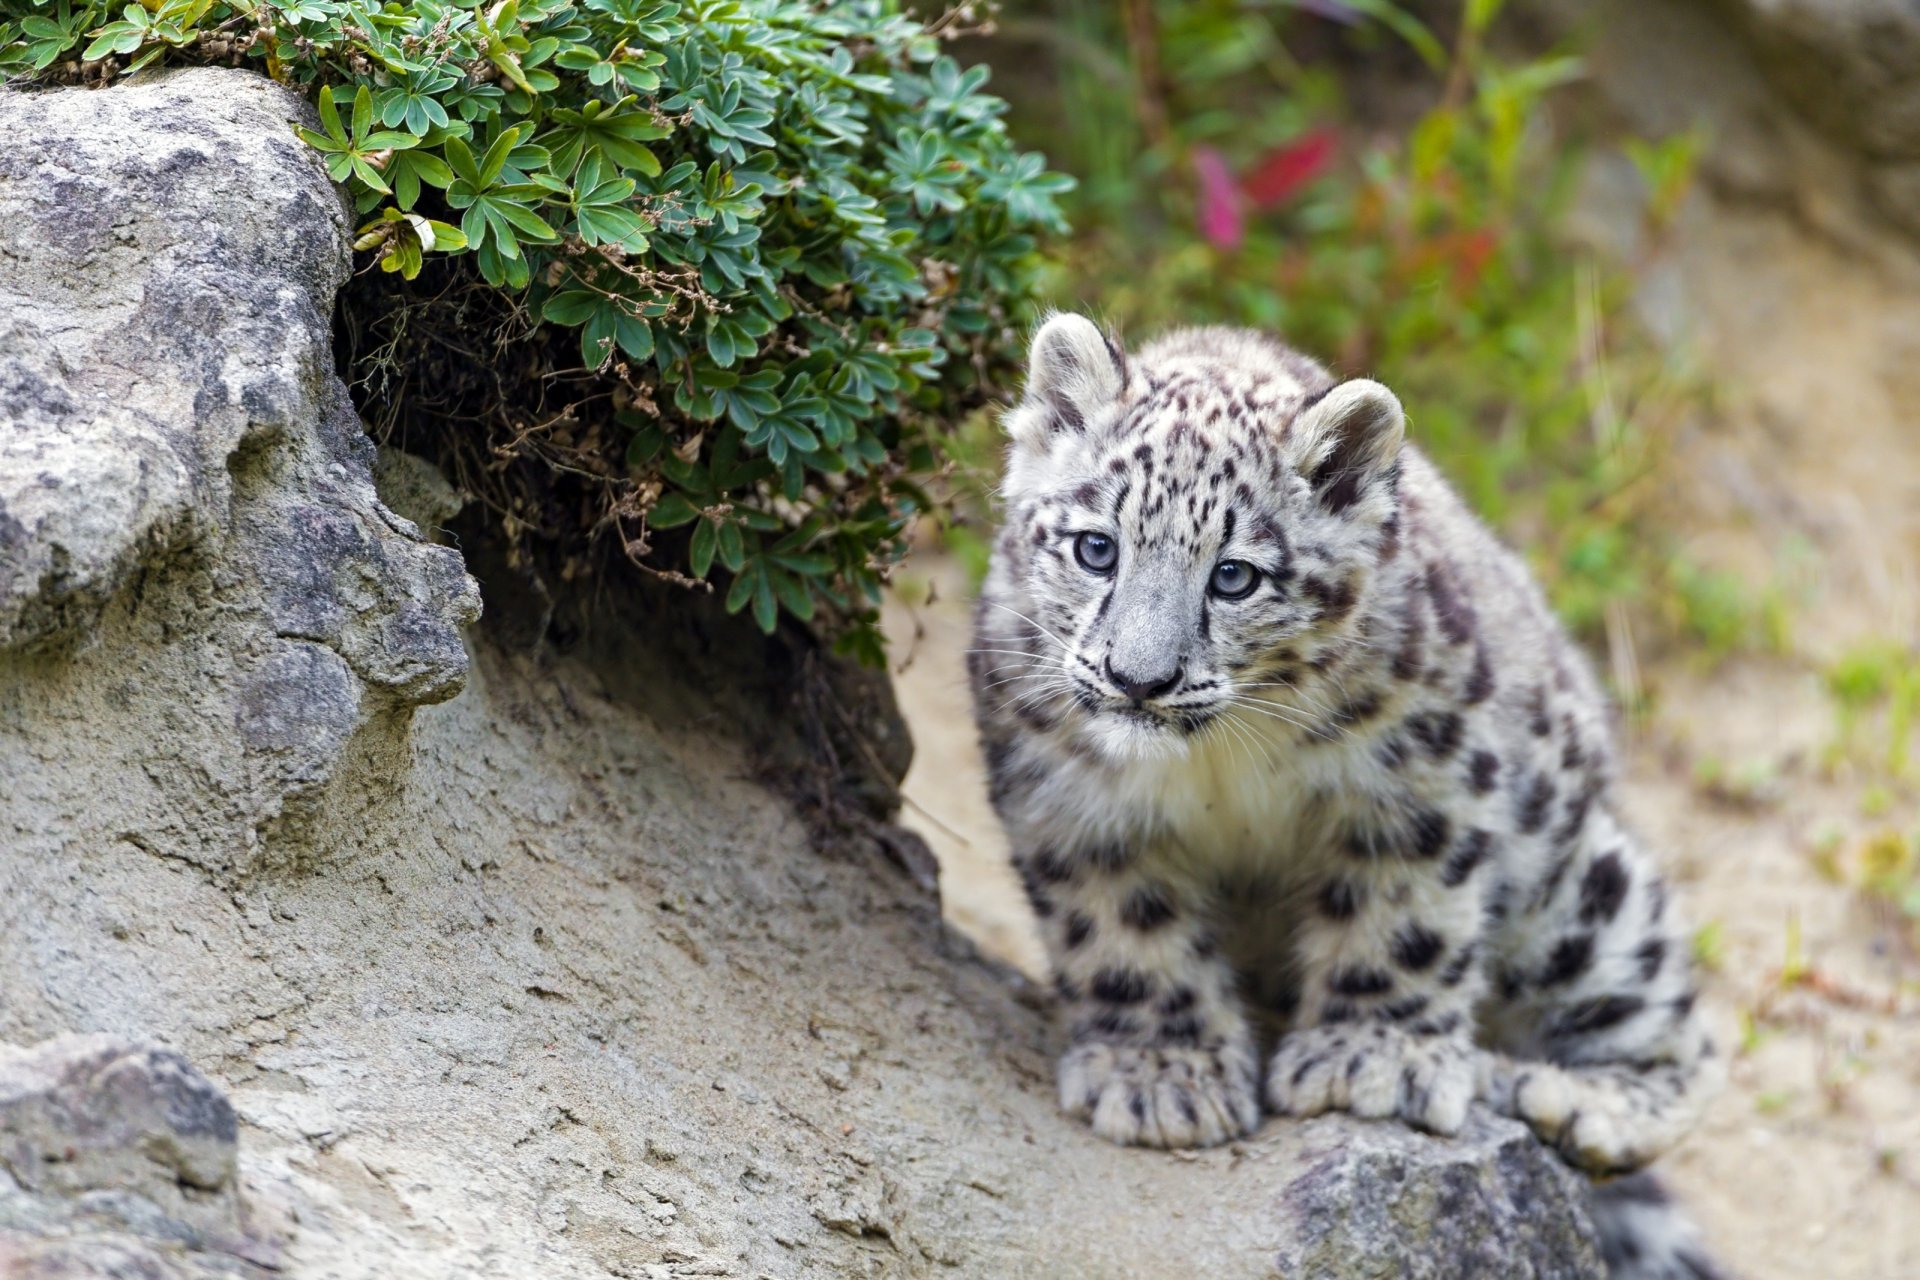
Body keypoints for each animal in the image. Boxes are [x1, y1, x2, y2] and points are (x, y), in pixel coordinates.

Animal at [968, 314, 1726, 1279]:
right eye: (1095, 547)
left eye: (1235, 576)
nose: (1140, 679)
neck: (1217, 766)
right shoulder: (1065, 796)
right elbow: (1122, 933)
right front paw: (1162, 1076)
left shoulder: (1421, 780)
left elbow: (1403, 922)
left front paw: (1373, 1059)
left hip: (1581, 891)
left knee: (1676, 1028)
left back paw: (1569, 1101)